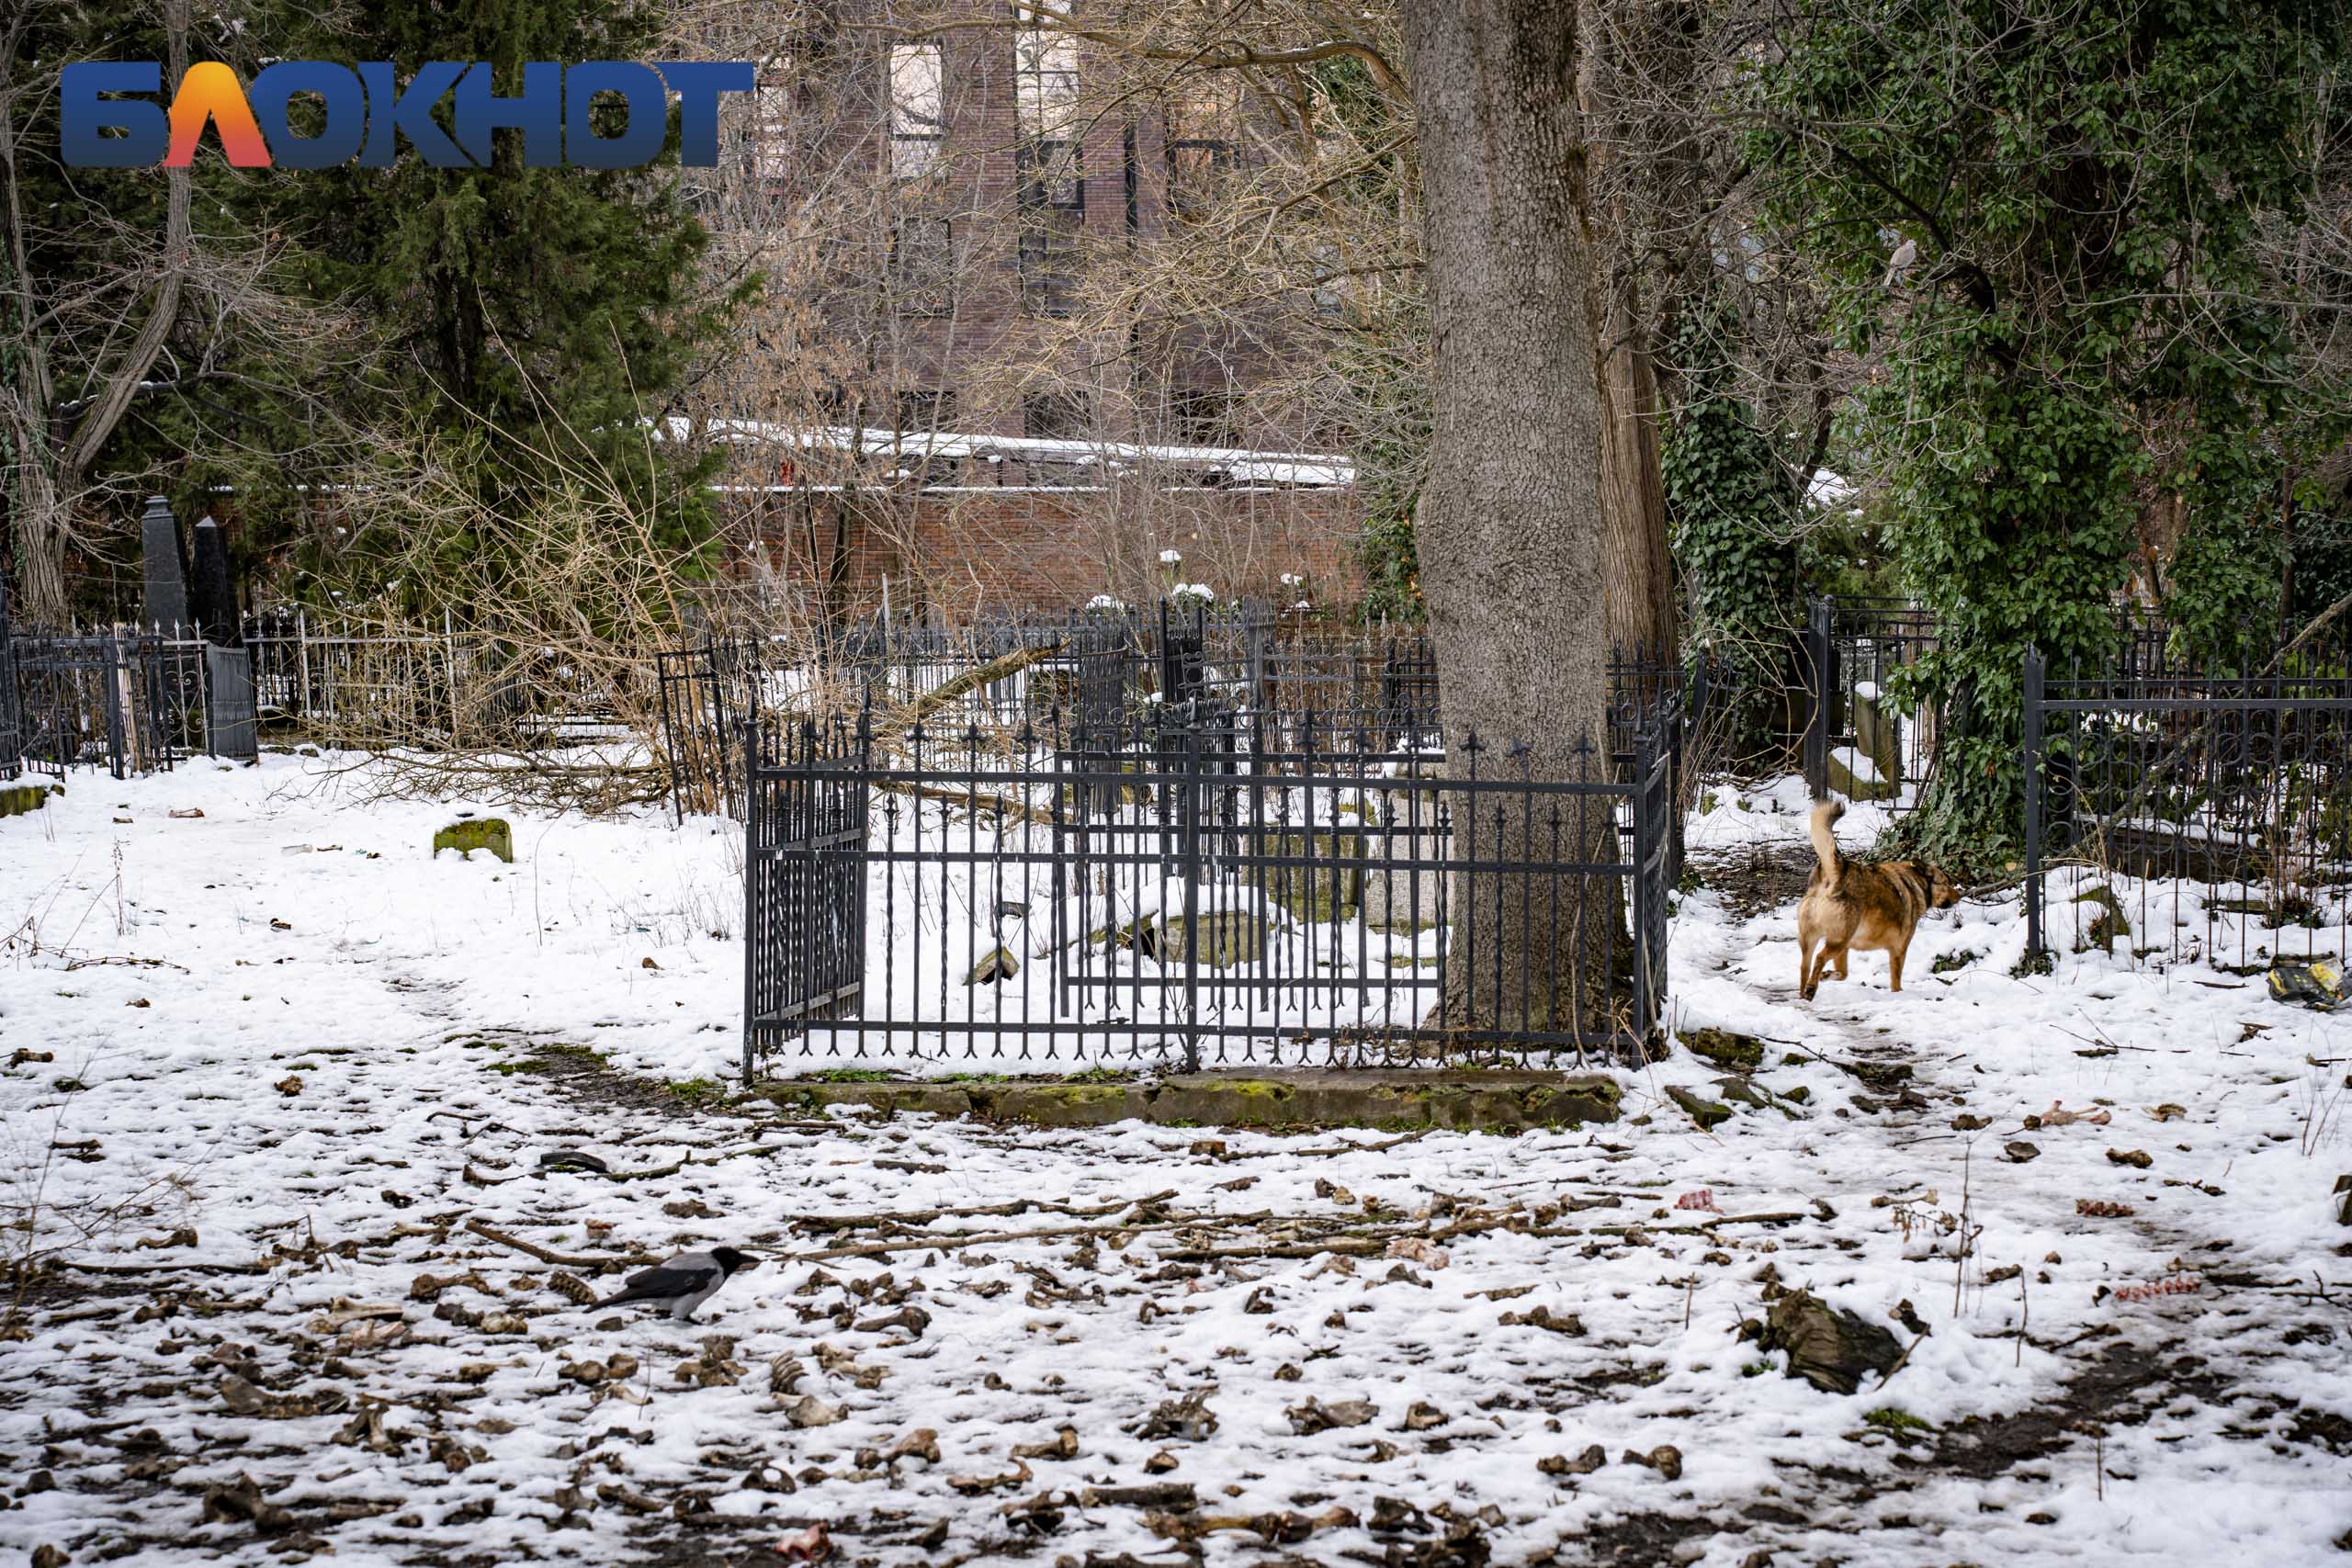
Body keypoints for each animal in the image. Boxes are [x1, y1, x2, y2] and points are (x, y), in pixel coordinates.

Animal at [1806, 804, 1956, 1001]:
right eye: (1947, 883)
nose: (1960, 895)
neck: (1916, 882)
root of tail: (1840, 870)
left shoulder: (1846, 948)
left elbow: (1843, 974)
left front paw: (1827, 975)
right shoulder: (1899, 950)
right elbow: (1896, 981)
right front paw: (1898, 995)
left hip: (1822, 939)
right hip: (1838, 940)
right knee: (1819, 958)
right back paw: (1810, 989)